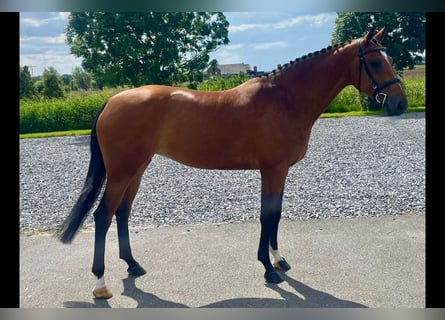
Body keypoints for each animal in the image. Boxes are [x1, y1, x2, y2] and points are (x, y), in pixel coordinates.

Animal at [57, 26, 408, 298]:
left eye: (389, 60)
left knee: (122, 213)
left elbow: (276, 215)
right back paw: (101, 284)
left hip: (137, 170)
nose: (400, 104)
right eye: (375, 62)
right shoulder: (272, 170)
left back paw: (133, 265)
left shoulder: (280, 172)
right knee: (103, 216)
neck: (285, 99)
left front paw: (278, 259)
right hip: (121, 172)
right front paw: (268, 269)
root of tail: (112, 100)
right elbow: (267, 216)